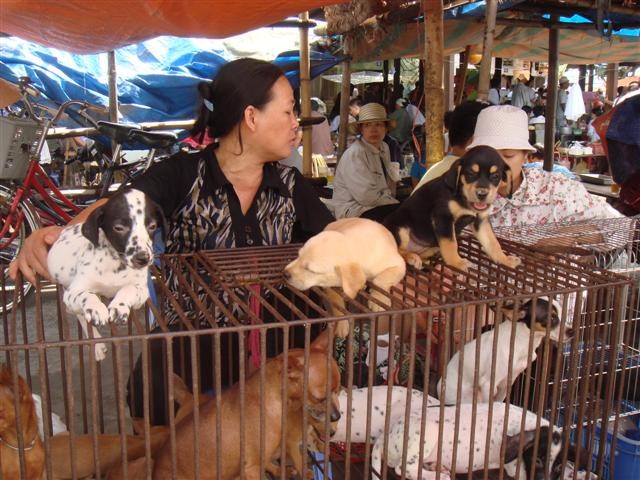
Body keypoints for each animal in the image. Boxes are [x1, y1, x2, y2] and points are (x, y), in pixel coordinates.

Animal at [49, 189, 166, 362]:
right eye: (119, 227)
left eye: (152, 226)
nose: (143, 258)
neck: (116, 263)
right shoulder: (74, 291)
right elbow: (86, 296)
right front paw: (96, 309)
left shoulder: (141, 290)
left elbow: (128, 289)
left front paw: (119, 307)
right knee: (78, 313)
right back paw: (97, 343)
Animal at [372, 402, 556, 480]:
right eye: (538, 460)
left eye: (558, 468)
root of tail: (385, 435)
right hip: (428, 431)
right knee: (402, 468)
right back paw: (438, 476)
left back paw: (436, 467)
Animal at [382, 146, 516, 272]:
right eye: (471, 174)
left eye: (495, 176)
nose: (482, 194)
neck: (463, 198)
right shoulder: (443, 217)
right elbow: (451, 244)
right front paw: (457, 263)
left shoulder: (481, 221)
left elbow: (493, 243)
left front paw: (504, 259)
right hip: (400, 227)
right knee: (396, 251)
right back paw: (411, 258)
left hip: (432, 247)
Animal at [438, 296, 572, 404]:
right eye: (552, 318)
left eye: (563, 315)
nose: (572, 331)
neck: (521, 342)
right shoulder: (488, 384)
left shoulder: (507, 383)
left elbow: (498, 402)